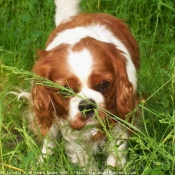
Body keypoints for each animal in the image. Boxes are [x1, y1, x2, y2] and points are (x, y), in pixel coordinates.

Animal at [14, 0, 140, 173]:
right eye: (64, 90)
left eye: (104, 84)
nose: (87, 105)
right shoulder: (73, 134)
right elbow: (86, 161)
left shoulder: (121, 121)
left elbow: (114, 158)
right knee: (49, 139)